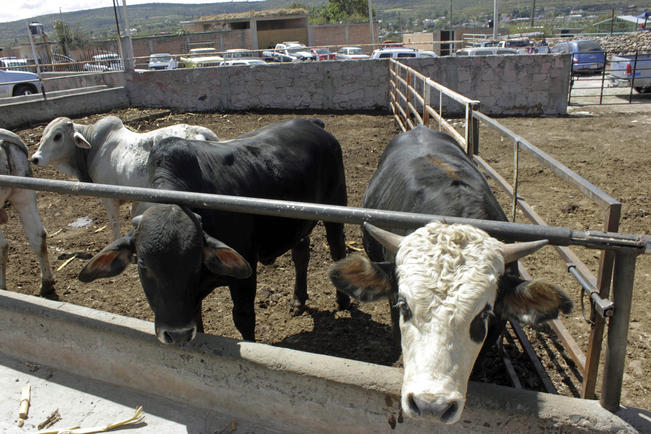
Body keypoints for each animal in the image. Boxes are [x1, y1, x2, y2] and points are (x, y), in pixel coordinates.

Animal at [31, 117, 219, 239]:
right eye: (43, 134)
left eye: (57, 136)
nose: (35, 158)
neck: (94, 147)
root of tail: (199, 130)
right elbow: (134, 214)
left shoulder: (108, 197)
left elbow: (115, 222)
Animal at [78, 117, 348, 344]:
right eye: (143, 264)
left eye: (195, 261)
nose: (176, 334)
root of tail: (312, 123)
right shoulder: (192, 300)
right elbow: (199, 324)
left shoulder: (244, 277)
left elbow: (244, 318)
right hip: (297, 223)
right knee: (301, 254)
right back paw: (298, 300)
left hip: (336, 205)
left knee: (337, 250)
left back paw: (343, 301)